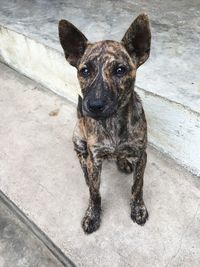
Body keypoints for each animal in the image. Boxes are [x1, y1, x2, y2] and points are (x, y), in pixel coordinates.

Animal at [58, 13, 151, 233]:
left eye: (120, 70)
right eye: (84, 71)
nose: (93, 106)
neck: (112, 121)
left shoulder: (141, 155)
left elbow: (138, 186)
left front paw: (138, 208)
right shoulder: (96, 157)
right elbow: (94, 192)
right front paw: (92, 214)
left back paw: (122, 160)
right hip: (78, 138)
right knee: (82, 158)